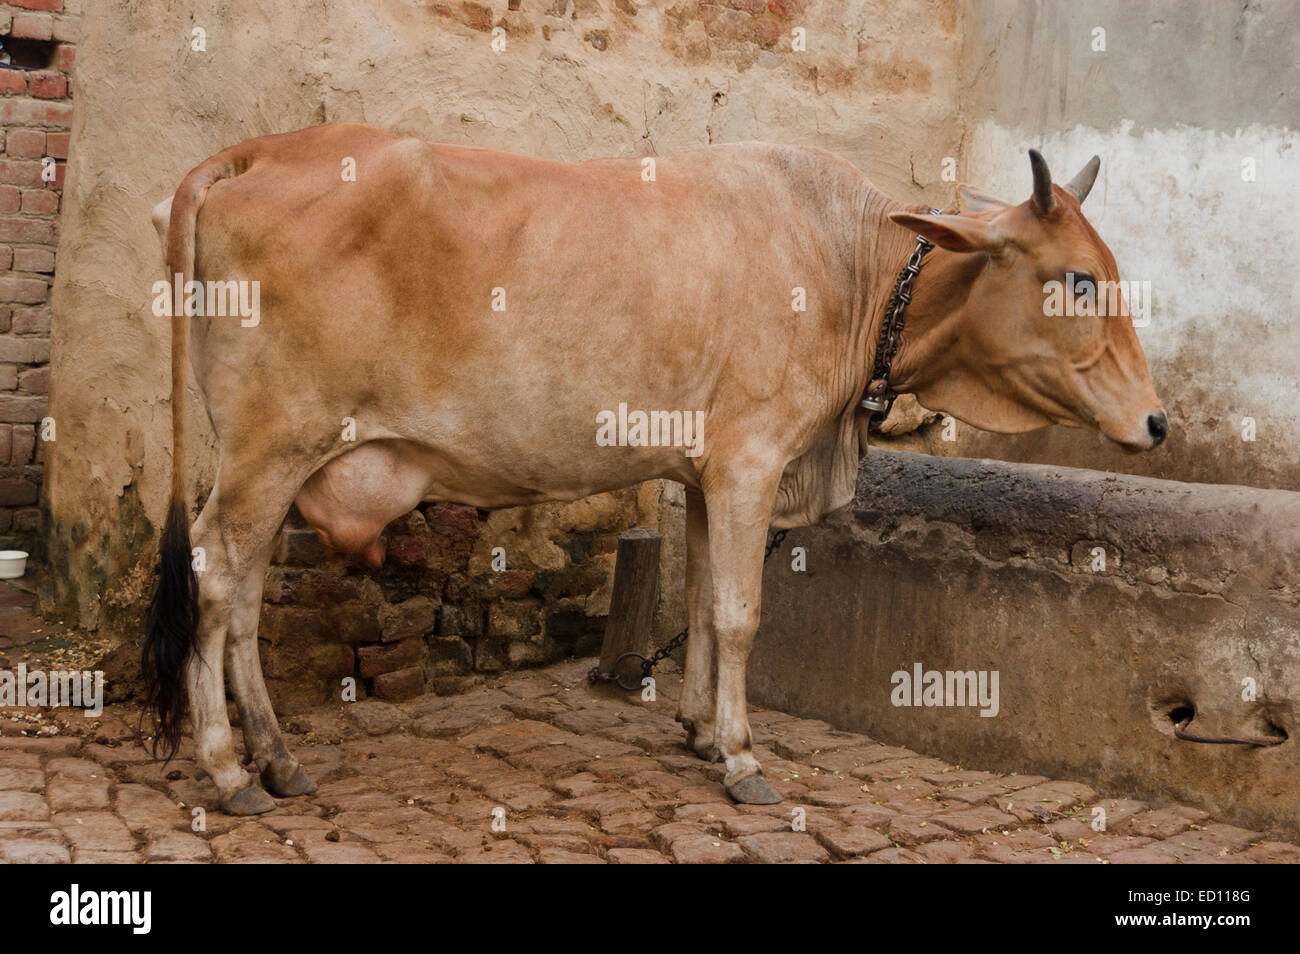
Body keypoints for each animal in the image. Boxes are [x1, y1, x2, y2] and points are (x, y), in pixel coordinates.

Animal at [143, 124, 1165, 814]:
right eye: (1078, 278)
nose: (1157, 421)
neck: (849, 268)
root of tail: (255, 153)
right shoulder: (753, 461)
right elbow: (743, 614)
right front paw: (745, 757)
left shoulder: (707, 474)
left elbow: (707, 603)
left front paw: (701, 730)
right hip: (270, 448)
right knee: (216, 575)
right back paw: (229, 769)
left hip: (276, 462)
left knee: (241, 593)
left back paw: (277, 758)